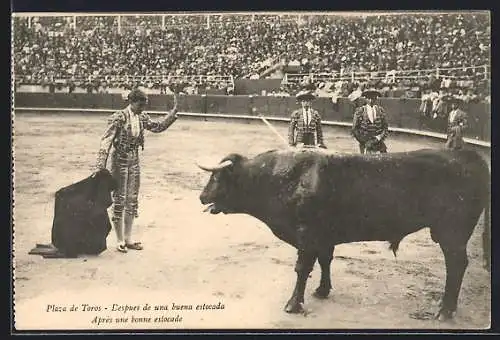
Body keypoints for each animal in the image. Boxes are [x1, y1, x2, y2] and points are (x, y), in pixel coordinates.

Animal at [197, 148, 490, 318]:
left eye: (216, 178)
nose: (201, 197)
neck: (279, 178)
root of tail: (469, 157)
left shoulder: (307, 236)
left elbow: (302, 268)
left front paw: (293, 304)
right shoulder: (324, 238)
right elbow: (325, 261)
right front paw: (322, 290)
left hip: (452, 232)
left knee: (457, 265)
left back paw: (445, 310)